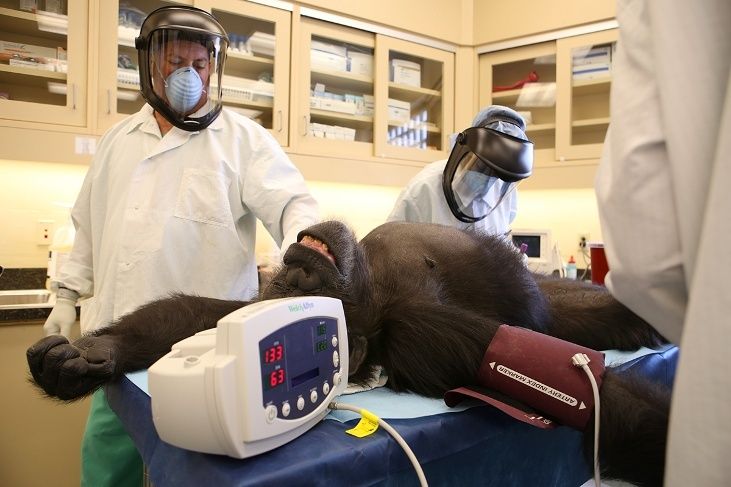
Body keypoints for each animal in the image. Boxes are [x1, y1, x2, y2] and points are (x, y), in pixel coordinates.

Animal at [27, 222, 668, 487]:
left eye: (297, 283)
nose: (294, 266)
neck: (372, 283)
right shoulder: (422, 333)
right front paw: (93, 351)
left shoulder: (417, 323)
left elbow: (578, 385)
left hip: (555, 290)